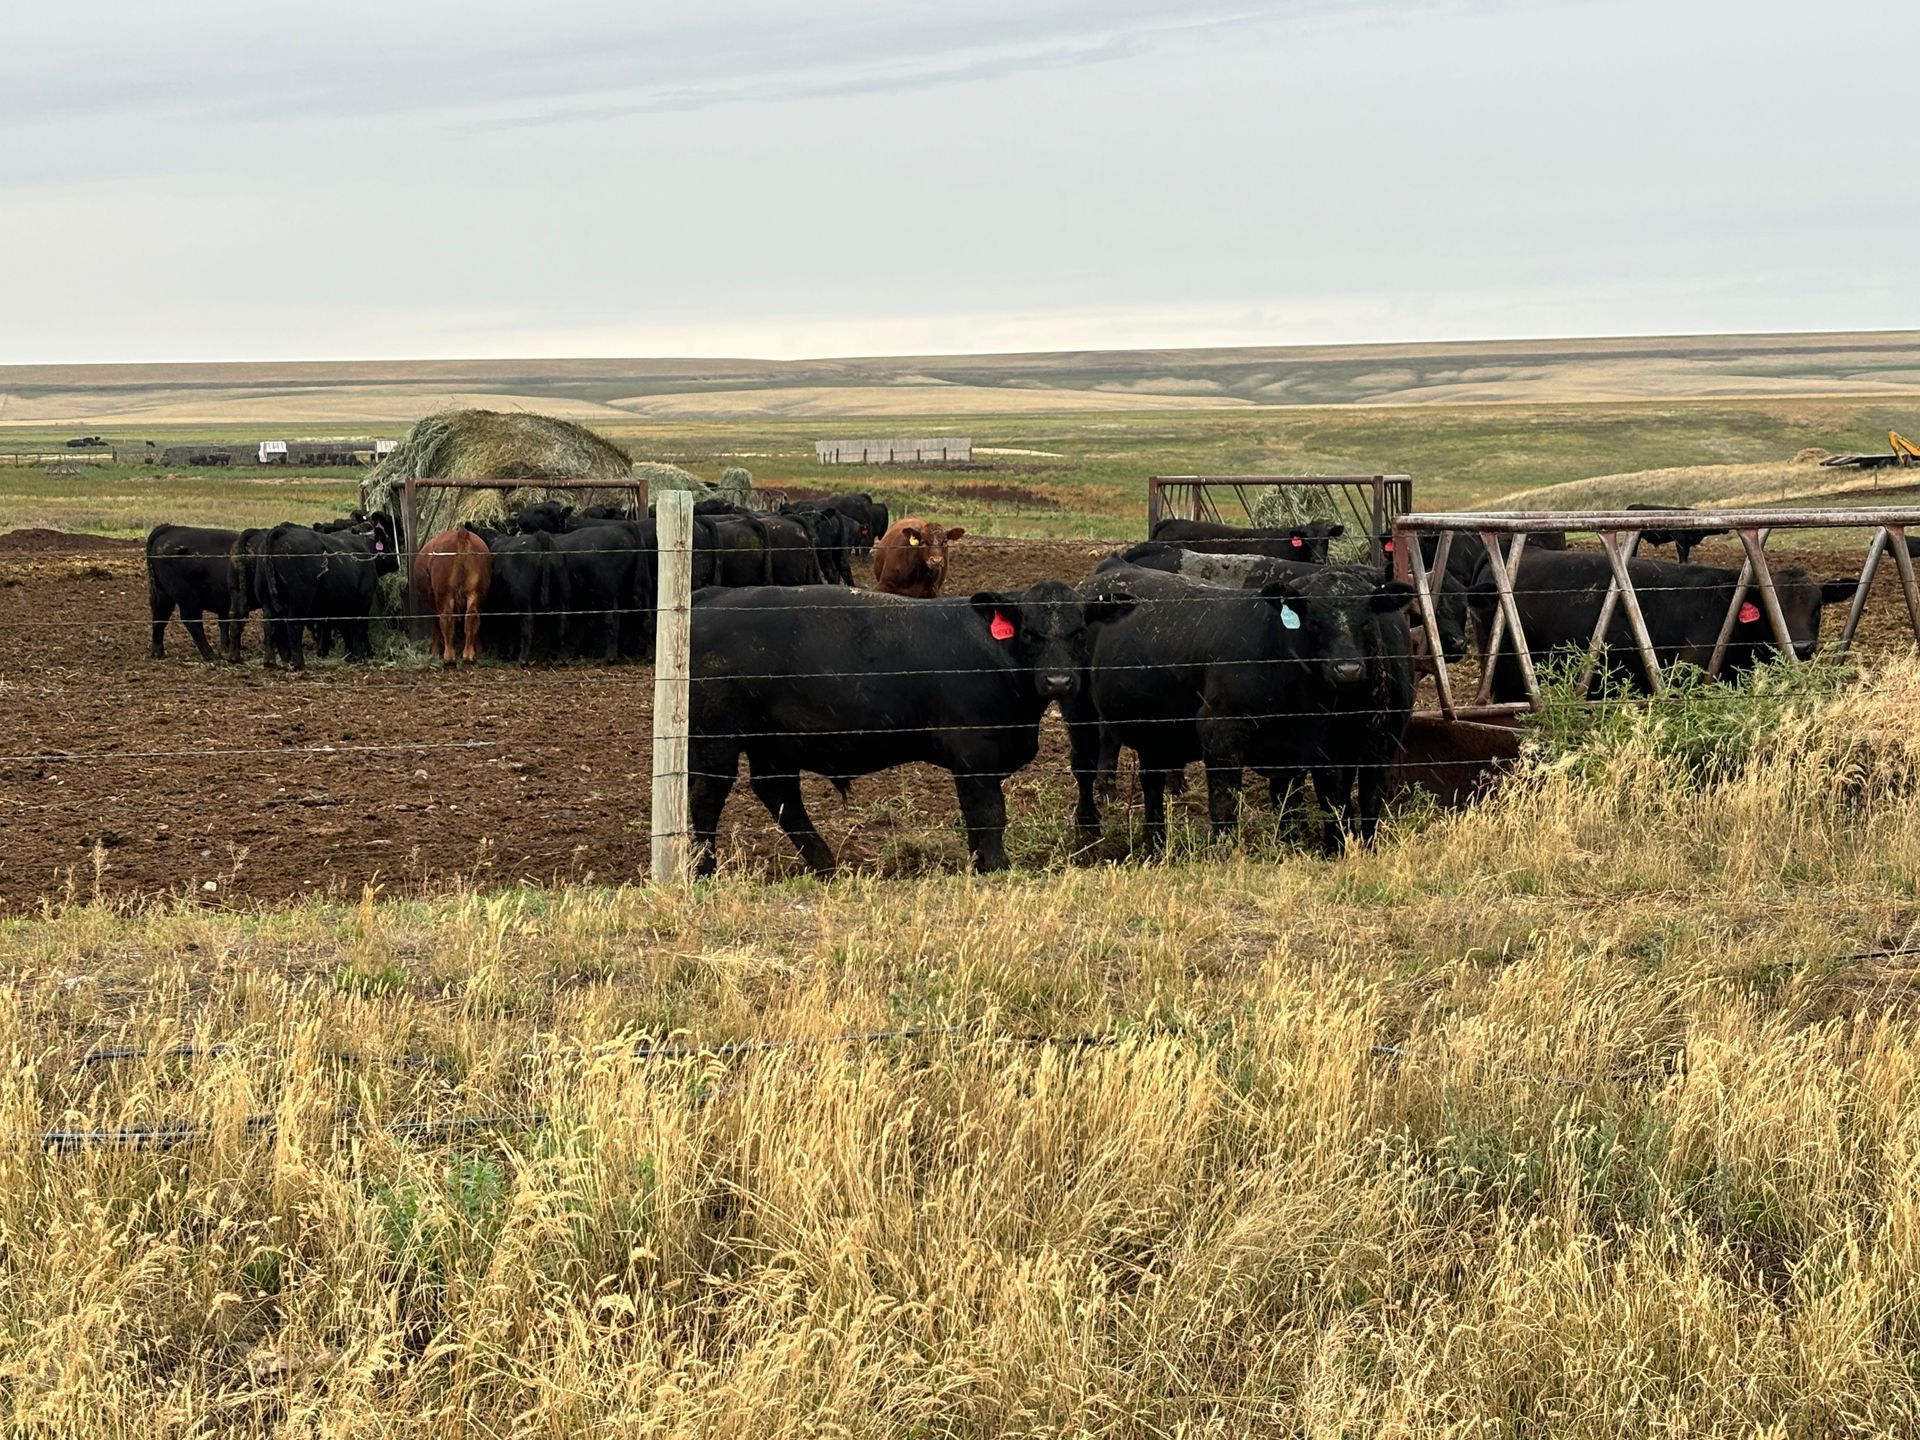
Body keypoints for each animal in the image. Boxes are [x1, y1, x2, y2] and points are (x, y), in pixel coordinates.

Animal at [145, 524, 242, 662]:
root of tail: (171, 527)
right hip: (188, 598)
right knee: (191, 621)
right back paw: (209, 653)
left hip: (163, 593)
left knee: (160, 617)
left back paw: (158, 652)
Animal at [413, 525, 493, 666]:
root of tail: (462, 534)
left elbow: (436, 623)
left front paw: (434, 650)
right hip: (477, 591)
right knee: (472, 616)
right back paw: (469, 655)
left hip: (444, 593)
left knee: (446, 619)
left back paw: (449, 657)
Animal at [686, 582, 1129, 876]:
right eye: (1030, 632)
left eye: (1079, 631)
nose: (1059, 681)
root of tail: (711, 597)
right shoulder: (975, 754)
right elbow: (988, 813)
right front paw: (998, 866)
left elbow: (975, 818)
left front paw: (979, 864)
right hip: (716, 740)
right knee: (706, 797)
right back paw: (705, 868)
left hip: (772, 743)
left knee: (780, 797)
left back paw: (825, 864)